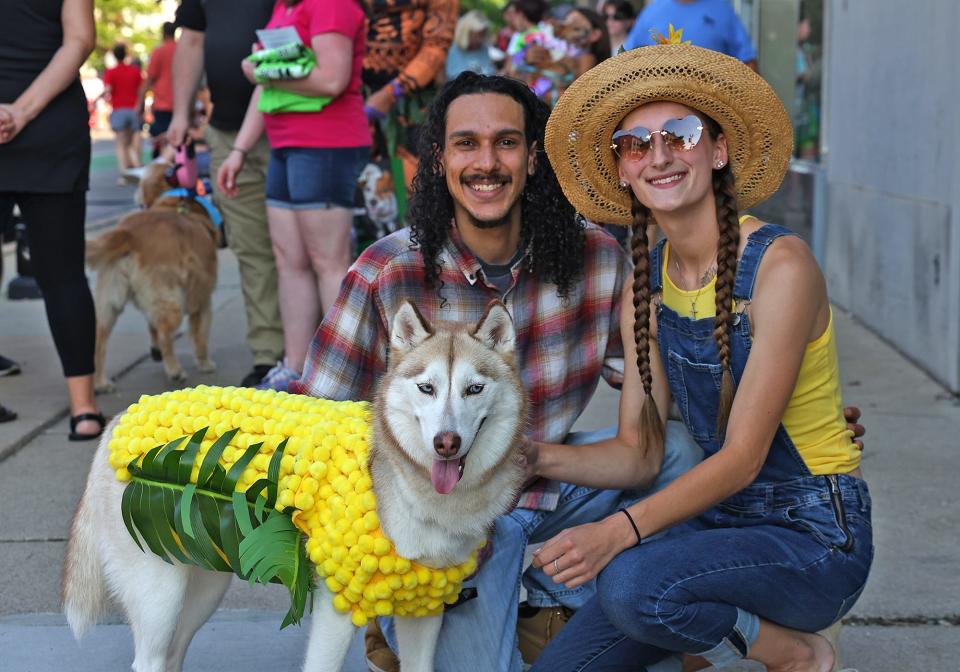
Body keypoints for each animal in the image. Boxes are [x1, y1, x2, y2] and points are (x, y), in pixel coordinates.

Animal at [62, 300, 524, 672]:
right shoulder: (336, 611)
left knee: (174, 655)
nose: (447, 443)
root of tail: (121, 419)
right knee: (151, 659)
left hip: (203, 582)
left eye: (474, 389)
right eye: (427, 388)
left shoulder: (424, 611)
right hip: (160, 596)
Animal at [87, 162, 218, 392]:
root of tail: (128, 233)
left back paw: (101, 382)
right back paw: (174, 370)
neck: (171, 201)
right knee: (166, 333)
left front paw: (155, 351)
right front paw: (205, 363)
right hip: (171, 298)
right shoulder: (202, 297)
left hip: (109, 302)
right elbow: (200, 335)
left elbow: (151, 326)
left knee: (99, 340)